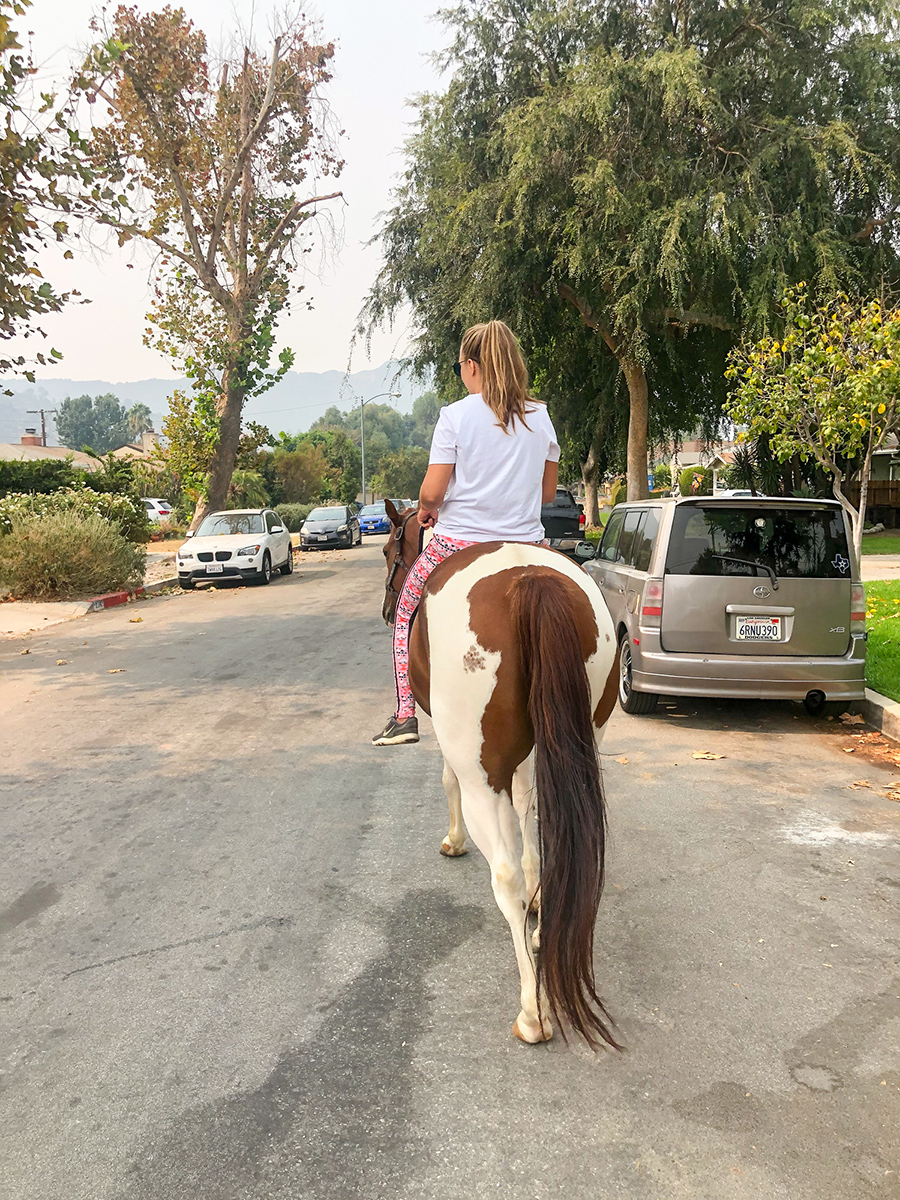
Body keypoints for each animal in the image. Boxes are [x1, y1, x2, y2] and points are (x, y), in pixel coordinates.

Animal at [379, 501, 619, 1046]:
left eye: (386, 550)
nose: (386, 611)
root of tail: (531, 581)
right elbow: (533, 820)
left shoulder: (455, 747)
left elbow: (447, 780)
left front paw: (453, 841)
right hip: (575, 740)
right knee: (552, 839)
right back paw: (543, 924)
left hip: (482, 773)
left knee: (505, 874)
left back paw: (533, 1010)